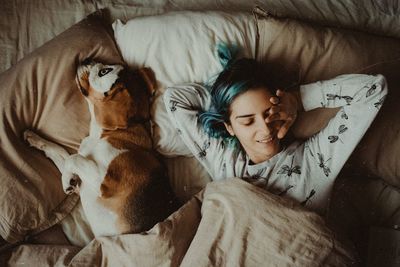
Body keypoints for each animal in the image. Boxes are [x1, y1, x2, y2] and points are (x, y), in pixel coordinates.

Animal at [25, 59, 180, 238]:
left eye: (104, 71)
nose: (86, 60)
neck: (106, 134)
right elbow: (59, 151)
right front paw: (33, 138)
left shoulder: (105, 183)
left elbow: (73, 158)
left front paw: (66, 181)